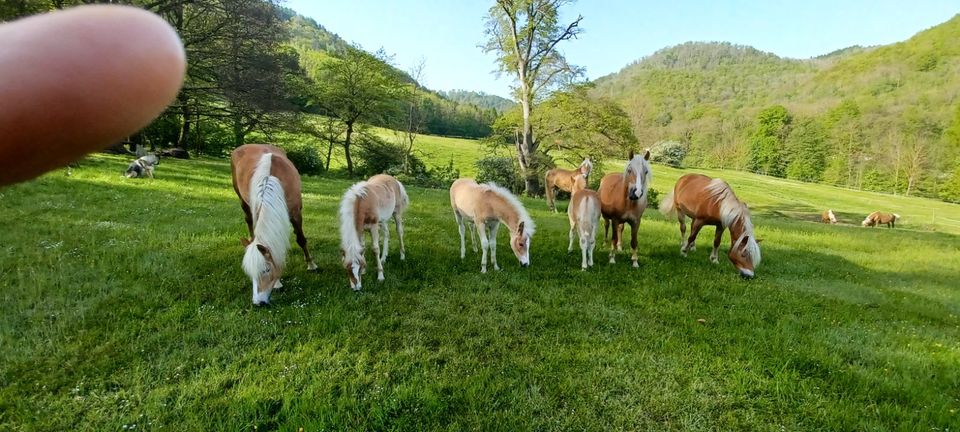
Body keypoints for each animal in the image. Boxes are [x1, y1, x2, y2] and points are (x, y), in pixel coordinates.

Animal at [231, 143, 316, 306]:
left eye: (266, 270)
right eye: (250, 274)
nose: (258, 303)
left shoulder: (296, 213)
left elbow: (301, 239)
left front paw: (311, 265)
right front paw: (277, 283)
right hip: (242, 201)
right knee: (248, 221)